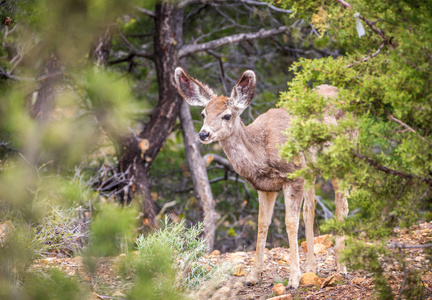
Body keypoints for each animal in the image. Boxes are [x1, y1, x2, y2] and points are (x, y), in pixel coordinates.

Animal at [174, 67, 350, 288]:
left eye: (227, 115)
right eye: (204, 113)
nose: (203, 134)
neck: (261, 154)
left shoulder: (293, 176)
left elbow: (290, 222)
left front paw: (293, 279)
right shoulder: (265, 186)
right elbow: (262, 224)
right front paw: (253, 276)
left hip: (340, 159)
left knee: (341, 206)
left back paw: (341, 267)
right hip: (311, 171)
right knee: (310, 210)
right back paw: (311, 268)